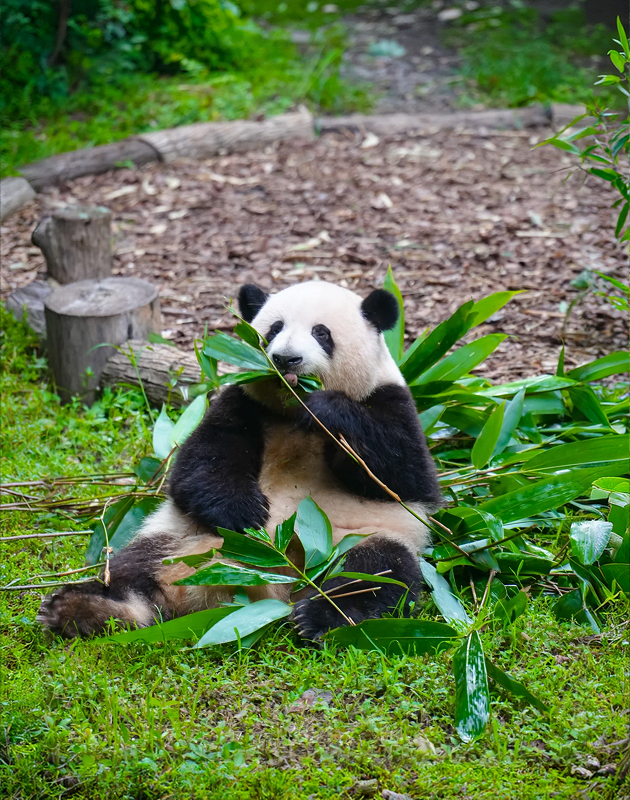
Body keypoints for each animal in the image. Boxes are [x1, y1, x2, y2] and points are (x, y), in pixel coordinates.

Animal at [38, 280, 442, 641]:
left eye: (321, 332)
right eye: (274, 329)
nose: (286, 358)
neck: (291, 410)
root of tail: (267, 585)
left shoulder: (392, 401)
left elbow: (403, 476)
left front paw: (327, 411)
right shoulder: (243, 402)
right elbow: (201, 463)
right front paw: (246, 513)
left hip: (358, 538)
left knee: (375, 572)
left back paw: (322, 617)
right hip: (178, 536)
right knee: (132, 569)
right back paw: (81, 609)